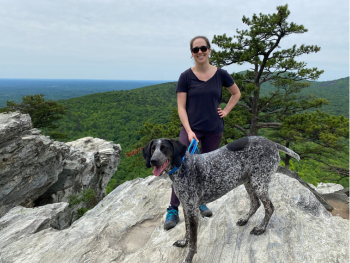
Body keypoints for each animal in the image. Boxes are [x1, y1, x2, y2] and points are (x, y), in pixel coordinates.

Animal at [142, 137, 300, 262]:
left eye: (165, 148)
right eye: (153, 149)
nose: (153, 161)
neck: (182, 167)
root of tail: (272, 143)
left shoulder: (192, 211)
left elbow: (193, 242)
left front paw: (188, 258)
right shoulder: (186, 207)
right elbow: (187, 231)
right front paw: (183, 242)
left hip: (259, 182)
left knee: (269, 207)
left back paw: (261, 229)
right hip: (249, 182)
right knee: (255, 203)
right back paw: (245, 219)